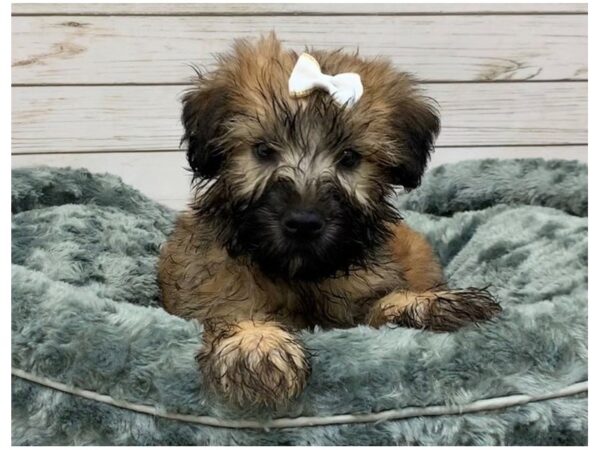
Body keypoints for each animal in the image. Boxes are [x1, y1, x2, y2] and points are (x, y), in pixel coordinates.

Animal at [157, 34, 500, 408]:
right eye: (263, 150)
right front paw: (257, 344)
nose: (304, 223)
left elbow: (384, 302)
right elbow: (233, 309)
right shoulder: (213, 285)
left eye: (349, 158)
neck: (298, 275)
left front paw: (429, 303)